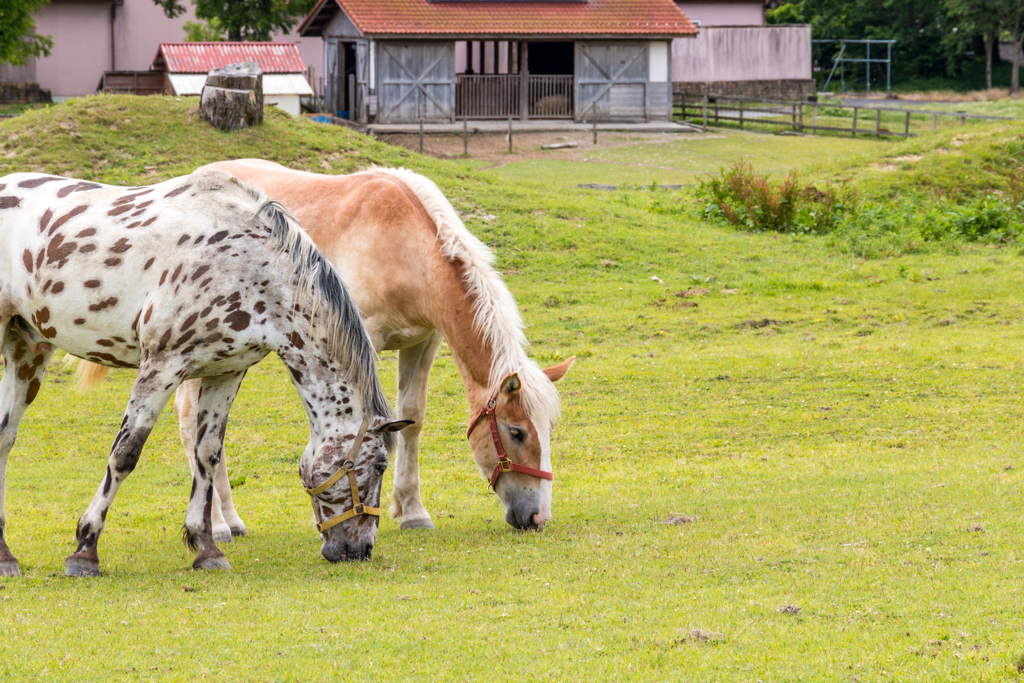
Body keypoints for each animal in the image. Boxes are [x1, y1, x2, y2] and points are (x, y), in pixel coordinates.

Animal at [0, 171, 409, 577]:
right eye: (379, 465)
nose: (360, 549)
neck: (251, 265)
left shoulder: (226, 372)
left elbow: (207, 454)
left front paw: (206, 547)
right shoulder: (161, 366)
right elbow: (125, 453)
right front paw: (85, 549)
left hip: (28, 351)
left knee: (4, 437)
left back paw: (5, 556)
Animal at [78, 161, 573, 540]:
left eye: (547, 430)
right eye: (516, 432)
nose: (537, 517)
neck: (404, 243)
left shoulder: (423, 342)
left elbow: (412, 420)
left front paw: (411, 511)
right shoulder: (359, 340)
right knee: (188, 424)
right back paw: (218, 524)